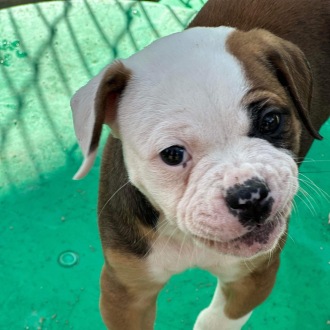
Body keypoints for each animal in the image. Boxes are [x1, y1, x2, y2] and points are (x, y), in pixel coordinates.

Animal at [71, 0, 328, 328]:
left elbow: (215, 320)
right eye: (172, 154)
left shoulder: (252, 276)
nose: (250, 197)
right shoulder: (126, 293)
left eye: (271, 121)